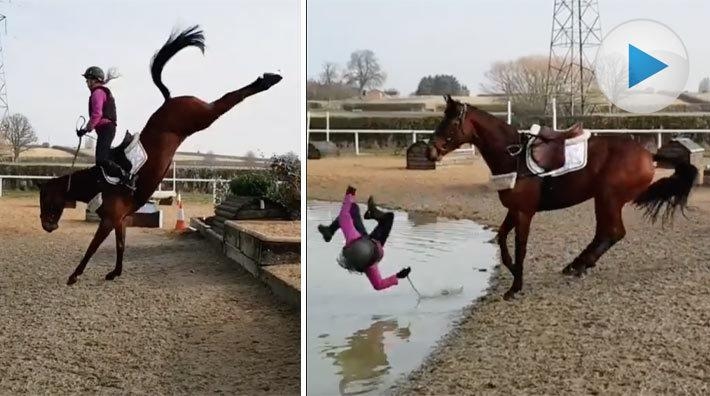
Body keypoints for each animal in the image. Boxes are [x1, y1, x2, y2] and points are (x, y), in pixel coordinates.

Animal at [39, 24, 282, 284]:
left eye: (46, 199)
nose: (47, 227)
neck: (97, 182)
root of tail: (169, 99)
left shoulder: (108, 220)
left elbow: (92, 248)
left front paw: (74, 275)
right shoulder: (119, 220)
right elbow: (120, 245)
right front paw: (115, 272)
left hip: (202, 115)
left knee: (226, 100)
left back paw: (268, 80)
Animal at [428, 95, 700, 300]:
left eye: (449, 123)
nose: (430, 150)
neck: (513, 156)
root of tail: (649, 155)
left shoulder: (524, 213)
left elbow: (520, 247)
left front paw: (516, 286)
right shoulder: (514, 210)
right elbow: (502, 239)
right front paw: (513, 271)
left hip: (608, 198)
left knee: (613, 232)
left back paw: (580, 264)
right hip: (603, 199)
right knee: (605, 233)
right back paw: (577, 264)